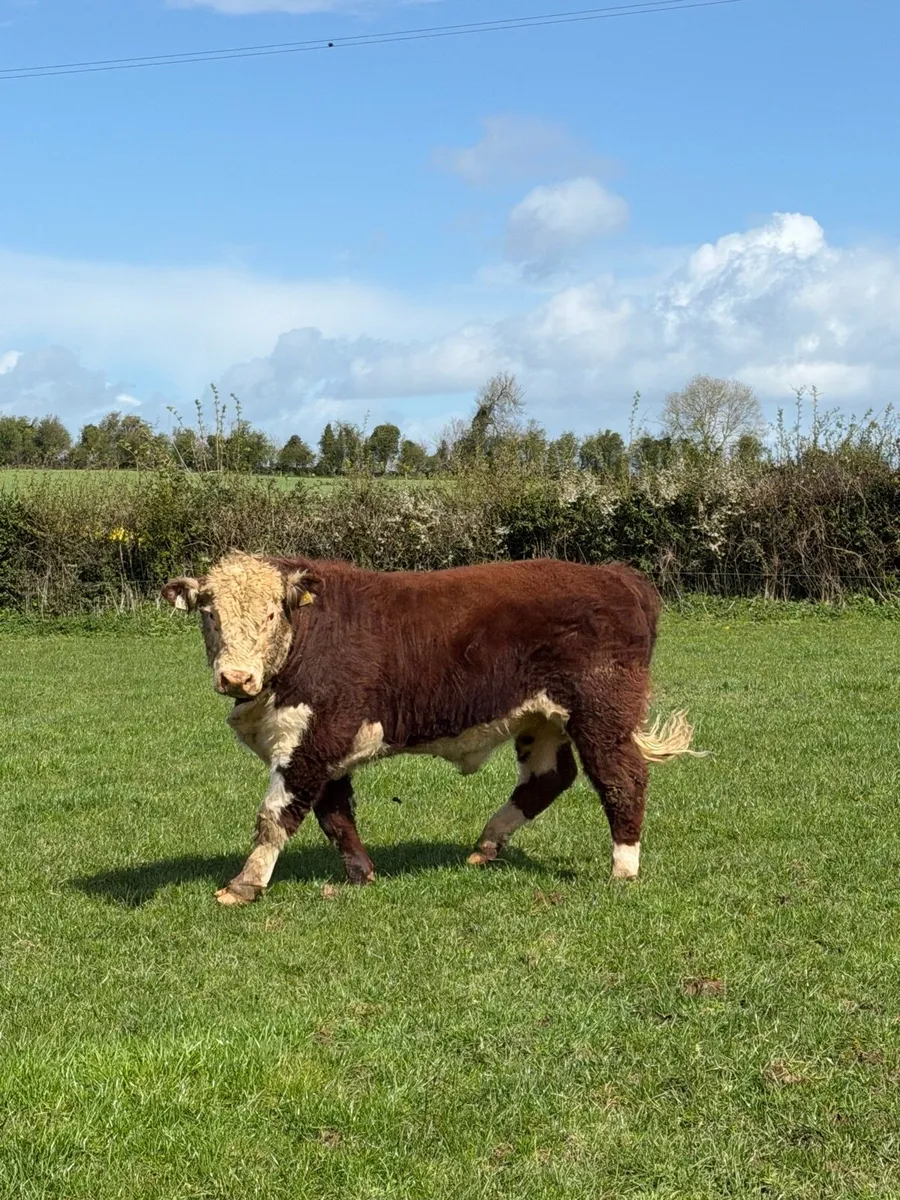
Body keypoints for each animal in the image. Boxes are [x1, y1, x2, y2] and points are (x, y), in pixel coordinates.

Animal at [161, 552, 701, 905]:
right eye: (210, 614)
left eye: (272, 612)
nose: (235, 677)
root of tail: (616, 576)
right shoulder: (327, 746)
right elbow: (335, 815)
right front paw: (360, 874)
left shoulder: (314, 738)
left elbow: (275, 816)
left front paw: (243, 884)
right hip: (540, 719)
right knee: (548, 779)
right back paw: (487, 845)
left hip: (602, 717)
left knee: (622, 780)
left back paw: (622, 869)